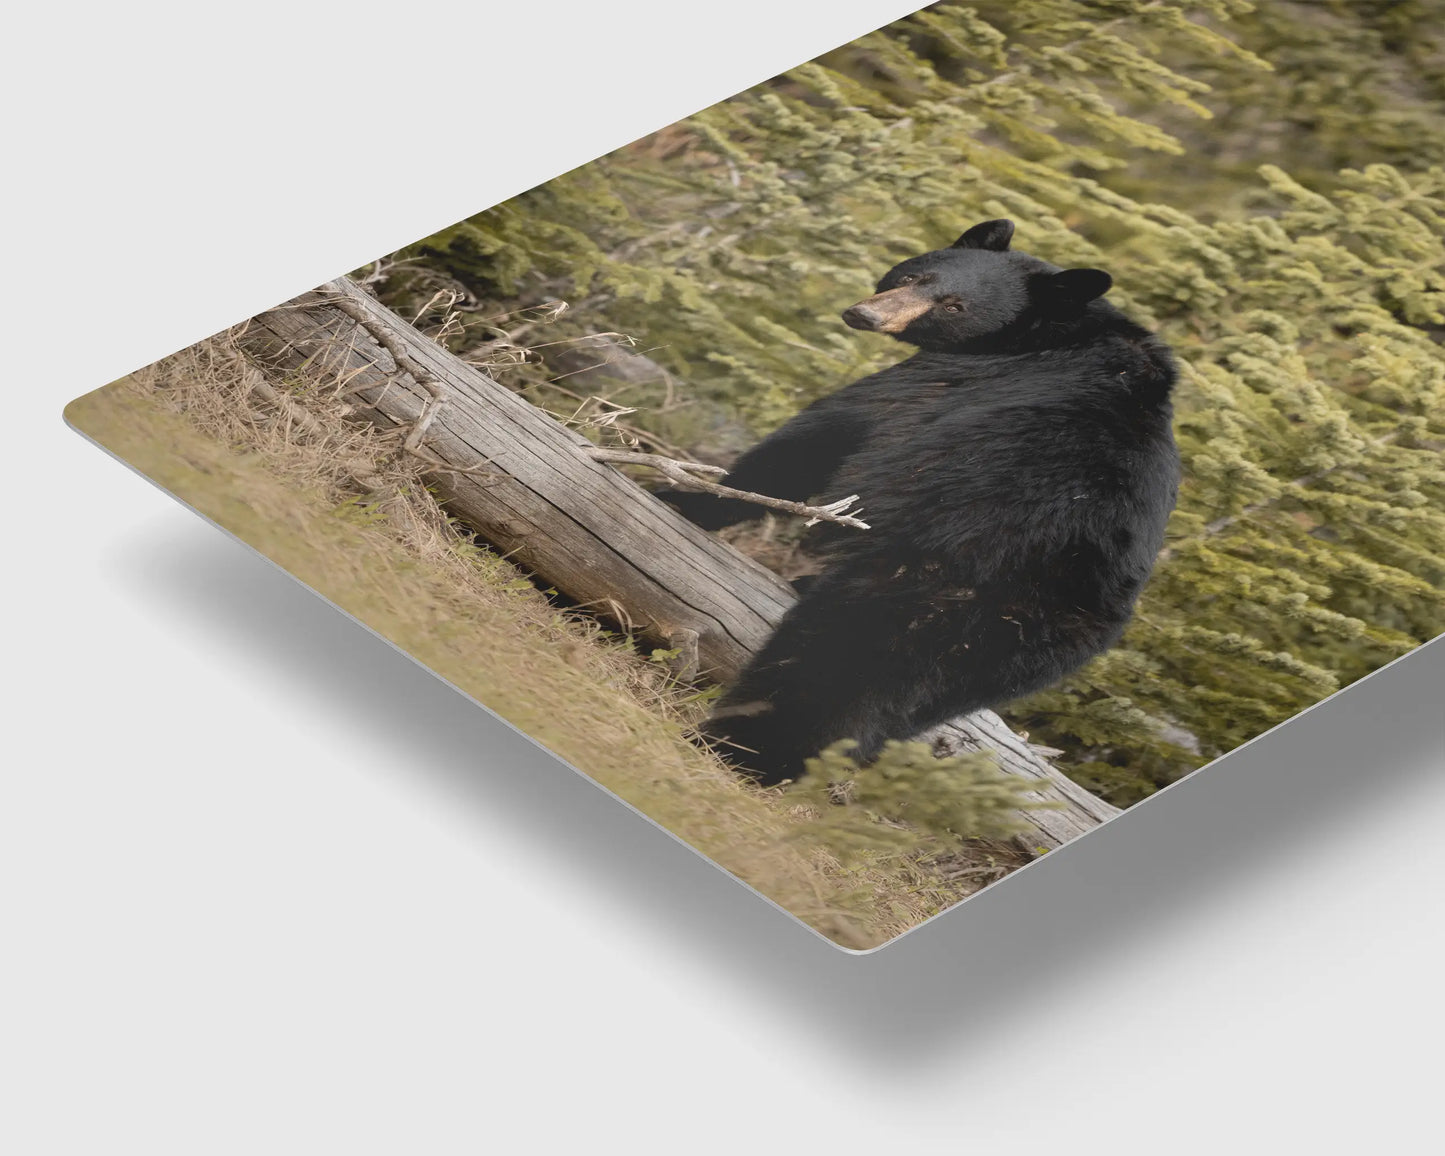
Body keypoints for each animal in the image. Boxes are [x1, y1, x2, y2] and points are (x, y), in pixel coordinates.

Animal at [662, 219, 1181, 787]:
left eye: (954, 306)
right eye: (914, 275)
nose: (865, 314)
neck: (1054, 332)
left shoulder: (938, 383)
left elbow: (820, 438)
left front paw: (683, 498)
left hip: (941, 573)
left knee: (846, 659)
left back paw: (738, 747)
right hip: (1015, 656)